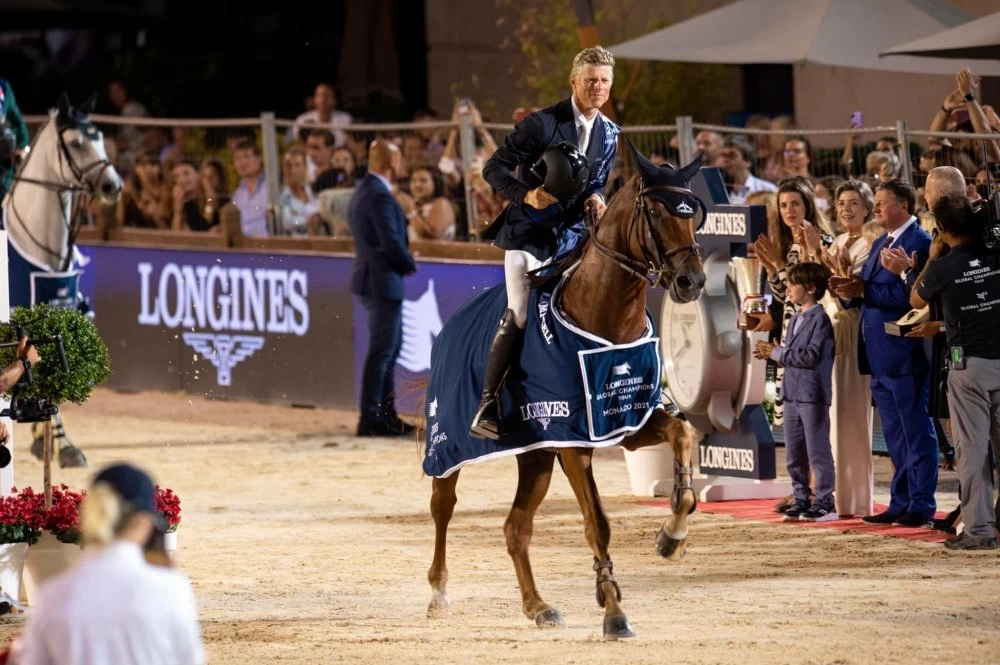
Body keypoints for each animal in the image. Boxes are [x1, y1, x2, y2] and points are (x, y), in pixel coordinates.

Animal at [426, 149, 708, 640]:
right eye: (655, 213)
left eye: (693, 214)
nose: (691, 281)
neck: (606, 319)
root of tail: (449, 328)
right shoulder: (575, 443)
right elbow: (598, 524)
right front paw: (614, 612)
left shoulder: (627, 421)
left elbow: (682, 436)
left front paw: (671, 537)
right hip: (449, 446)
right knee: (444, 506)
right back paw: (439, 593)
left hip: (536, 456)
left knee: (515, 527)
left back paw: (538, 606)